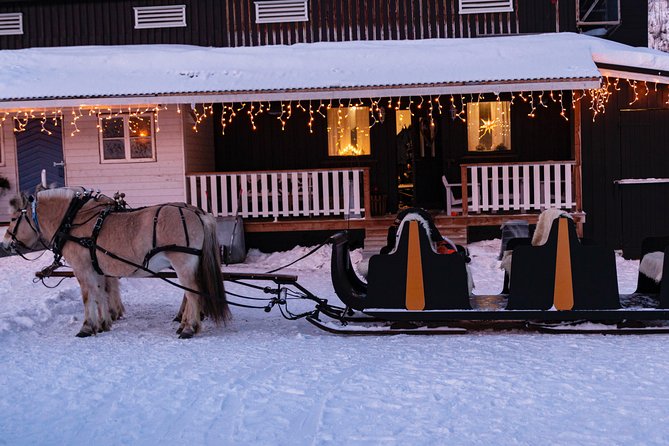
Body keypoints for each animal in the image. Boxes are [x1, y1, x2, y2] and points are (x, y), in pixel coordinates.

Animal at [2, 186, 228, 338]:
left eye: (13, 219)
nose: (4, 244)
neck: (73, 220)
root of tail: (198, 213)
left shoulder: (82, 268)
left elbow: (88, 296)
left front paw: (87, 326)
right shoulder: (98, 268)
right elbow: (101, 293)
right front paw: (103, 323)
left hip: (183, 263)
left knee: (193, 293)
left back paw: (188, 327)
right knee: (190, 294)